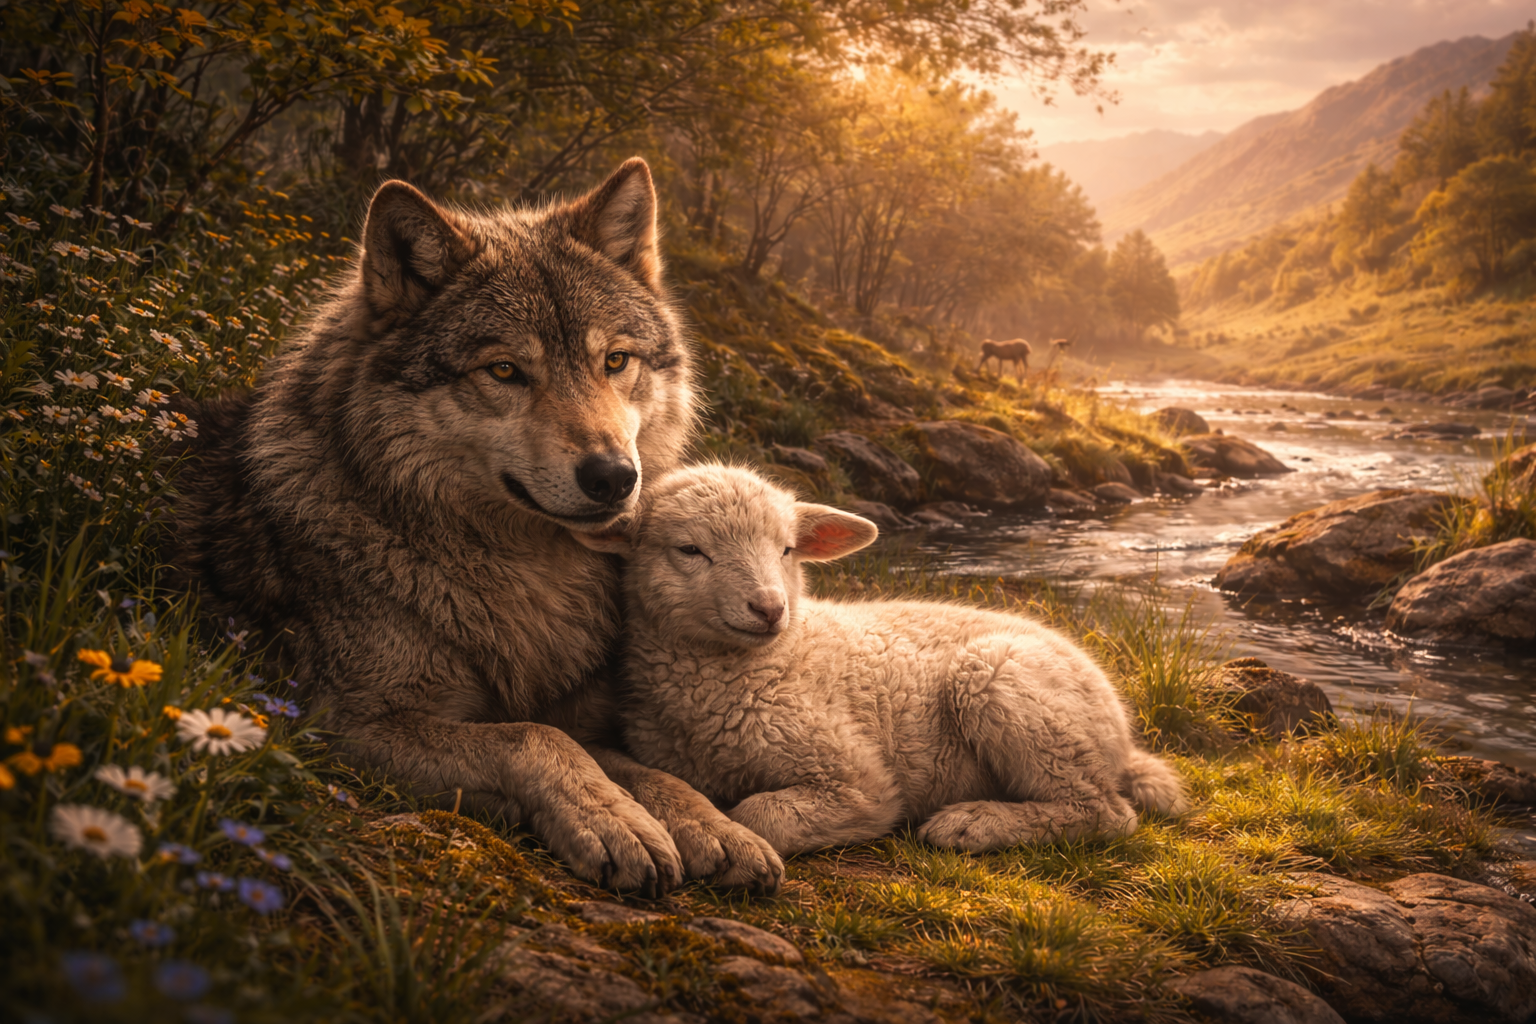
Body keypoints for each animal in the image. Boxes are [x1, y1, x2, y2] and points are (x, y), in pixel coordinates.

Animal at [166, 159, 784, 896]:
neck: (522, 576)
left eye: (615, 361)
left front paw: (714, 826)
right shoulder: (336, 722)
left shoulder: (579, 712)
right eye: (506, 371)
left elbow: (646, 770)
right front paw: (613, 821)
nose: (613, 477)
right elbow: (534, 740)